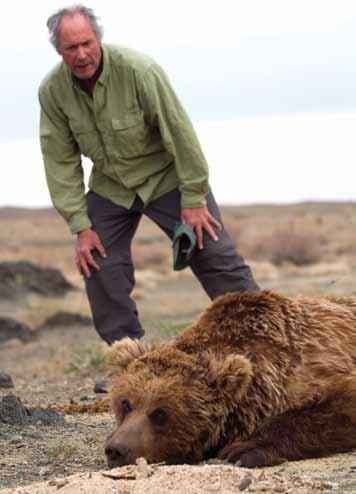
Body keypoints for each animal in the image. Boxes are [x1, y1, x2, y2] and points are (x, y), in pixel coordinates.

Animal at [104, 292, 356, 468]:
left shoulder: (311, 366)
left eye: (160, 413)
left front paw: (243, 451)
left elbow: (338, 406)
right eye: (125, 403)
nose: (116, 449)